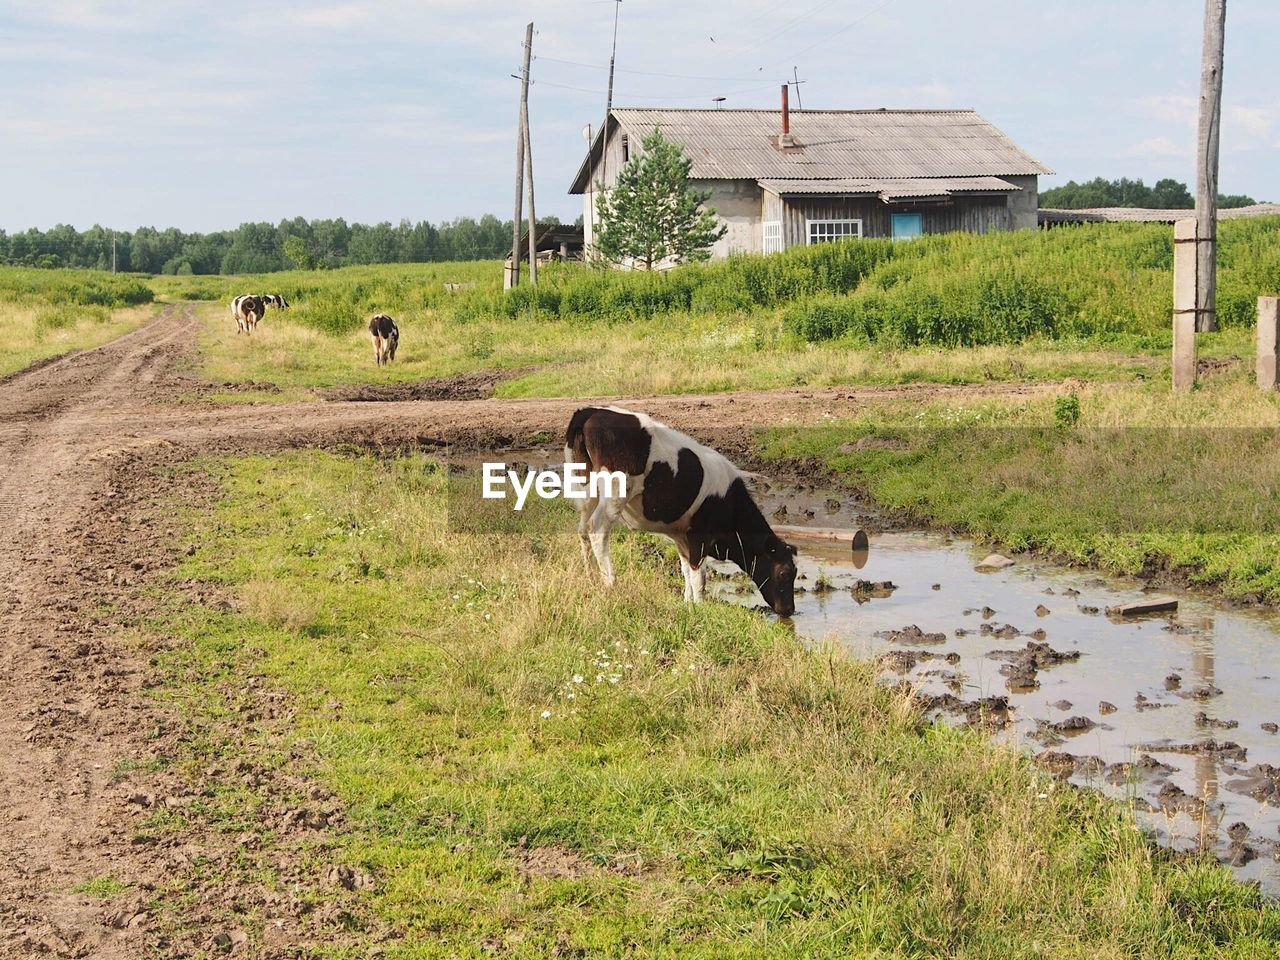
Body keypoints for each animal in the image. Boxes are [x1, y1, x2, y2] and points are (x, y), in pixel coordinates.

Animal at [565, 407, 793, 616]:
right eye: (785, 573)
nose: (789, 610)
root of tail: (593, 411)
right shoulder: (700, 535)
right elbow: (699, 575)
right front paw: (700, 607)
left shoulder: (682, 536)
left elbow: (686, 571)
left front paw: (687, 603)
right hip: (615, 491)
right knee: (597, 530)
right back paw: (610, 583)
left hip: (587, 488)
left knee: (582, 529)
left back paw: (591, 578)